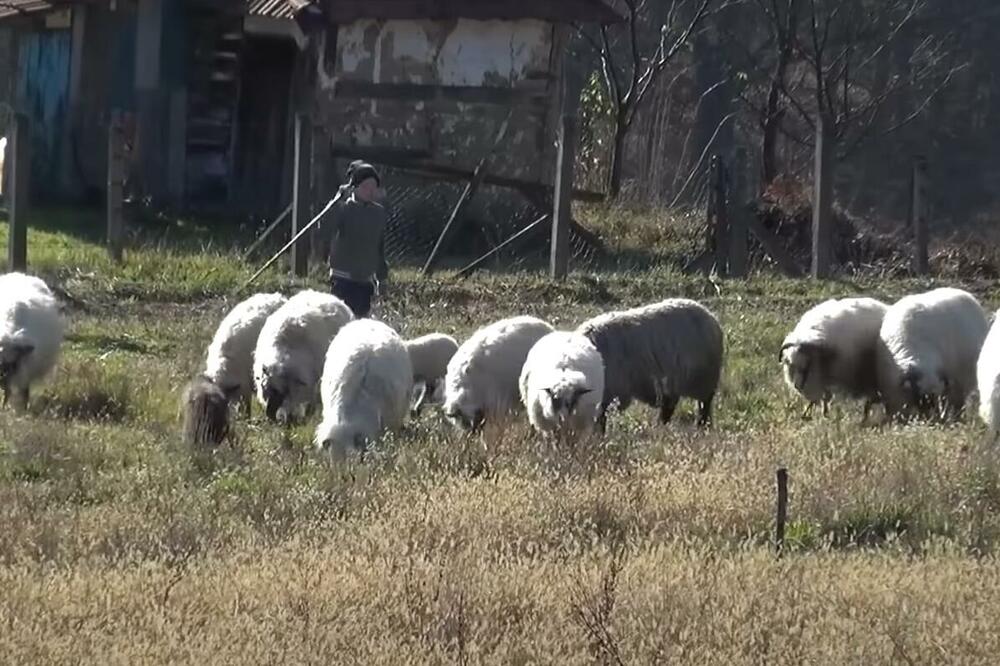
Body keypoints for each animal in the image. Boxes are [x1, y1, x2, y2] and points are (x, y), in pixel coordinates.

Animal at [576, 296, 724, 426]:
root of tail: (711, 317)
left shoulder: (609, 392)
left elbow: (601, 420)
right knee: (670, 405)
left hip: (702, 379)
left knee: (703, 405)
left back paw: (699, 425)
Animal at [880, 286, 988, 420]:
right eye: (919, 397)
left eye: (933, 400)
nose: (930, 420)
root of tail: (964, 293)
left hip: (962, 380)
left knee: (958, 402)